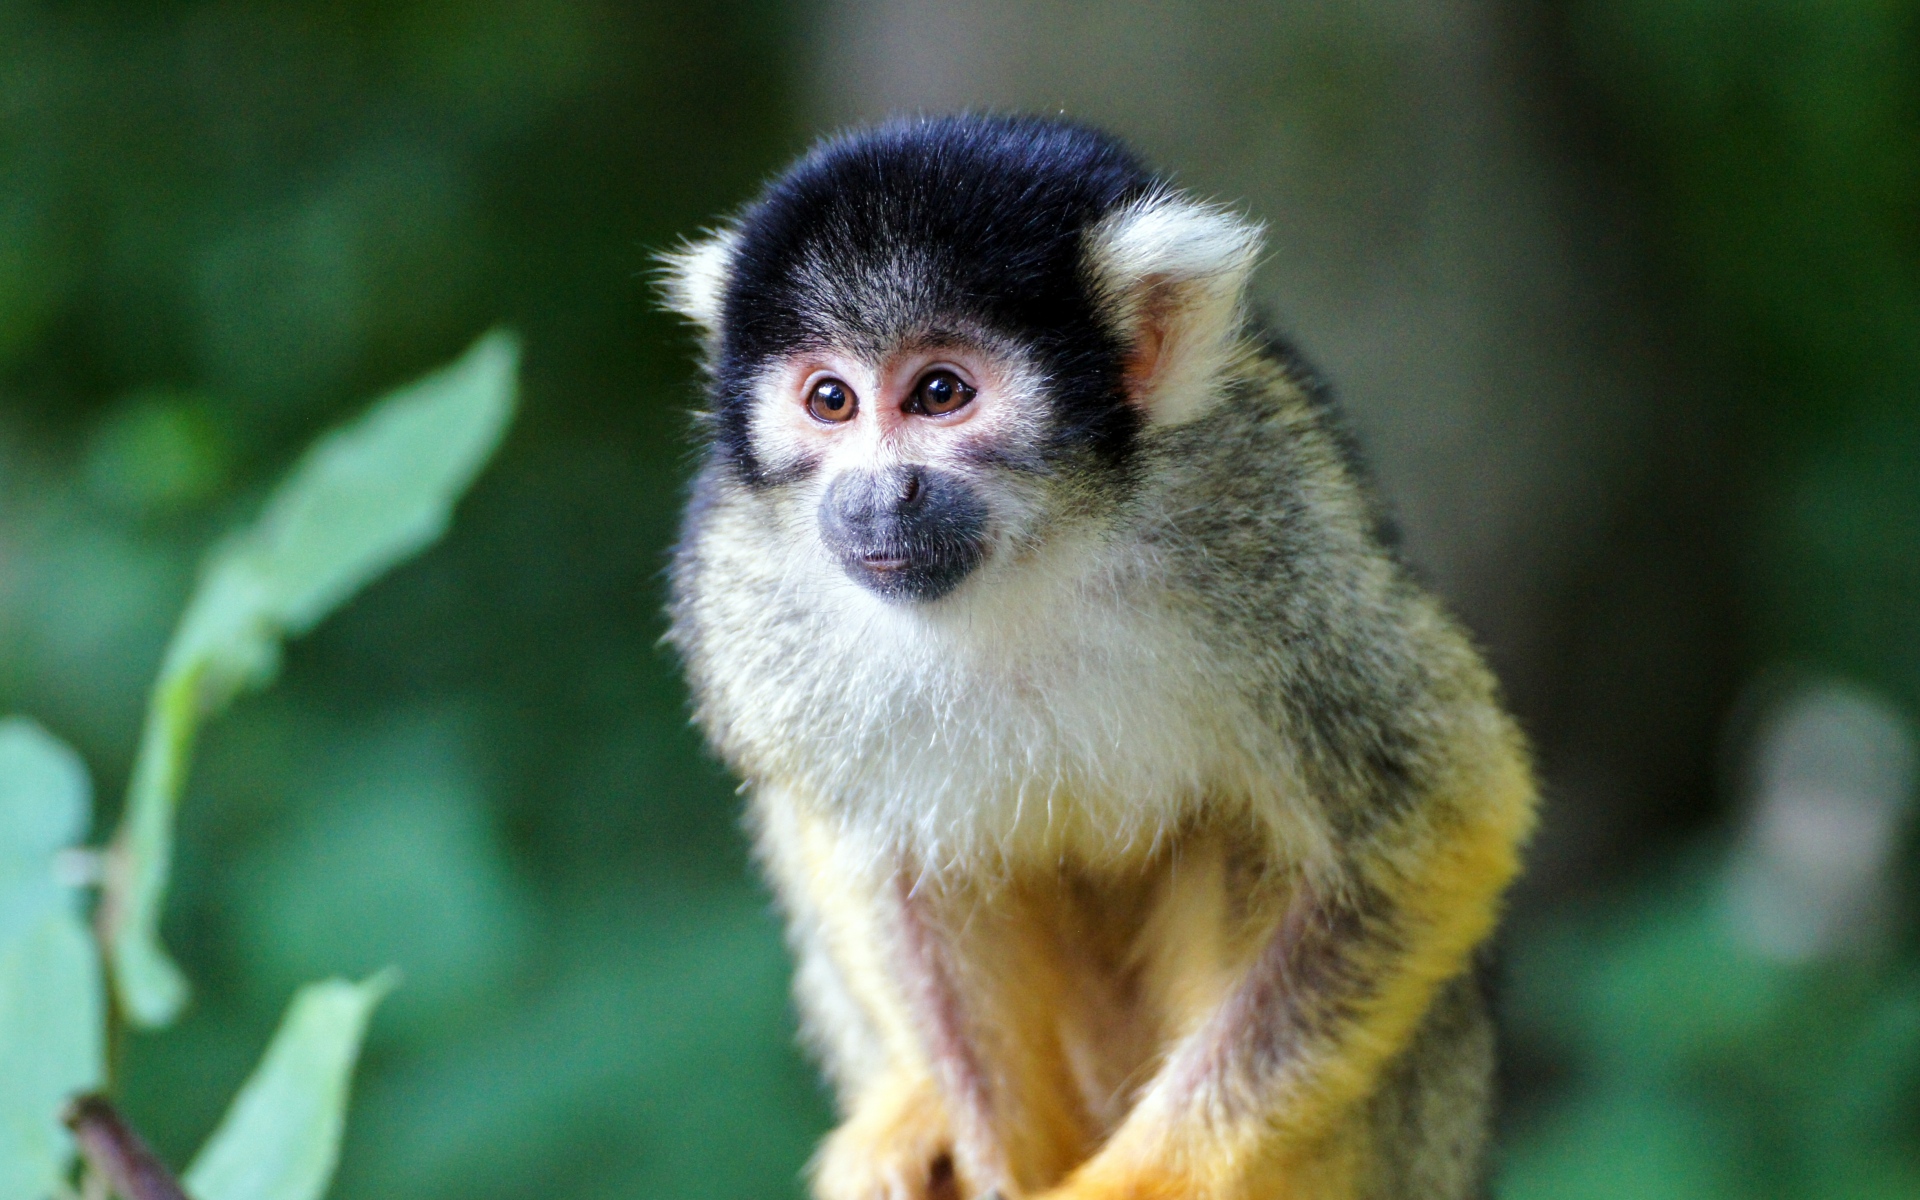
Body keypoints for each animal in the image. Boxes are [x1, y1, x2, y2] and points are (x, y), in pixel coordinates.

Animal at [659, 114, 1535, 1200]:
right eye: (830, 401)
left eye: (939, 393)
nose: (875, 496)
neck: (1027, 557)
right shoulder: (737, 577)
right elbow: (895, 863)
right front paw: (994, 1160)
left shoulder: (1263, 510)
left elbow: (1434, 821)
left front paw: (1138, 1181)